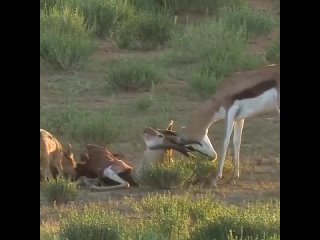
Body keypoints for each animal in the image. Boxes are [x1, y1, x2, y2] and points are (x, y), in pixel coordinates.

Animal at [148, 64, 280, 188]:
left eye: (190, 147)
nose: (212, 157)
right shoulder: (239, 118)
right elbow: (237, 141)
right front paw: (235, 176)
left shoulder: (229, 112)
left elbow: (225, 141)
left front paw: (216, 178)